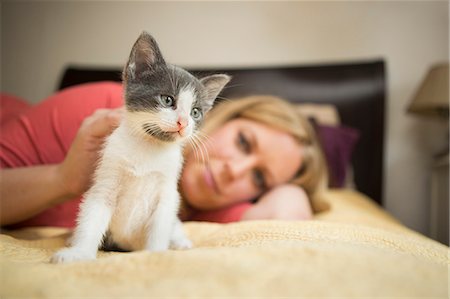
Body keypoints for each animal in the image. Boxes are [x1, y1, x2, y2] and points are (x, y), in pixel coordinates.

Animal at [51, 31, 230, 264]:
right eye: (167, 99)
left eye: (195, 112)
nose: (183, 123)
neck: (148, 148)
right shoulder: (106, 180)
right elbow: (93, 215)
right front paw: (79, 253)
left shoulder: (167, 193)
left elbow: (161, 225)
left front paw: (155, 255)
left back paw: (179, 241)